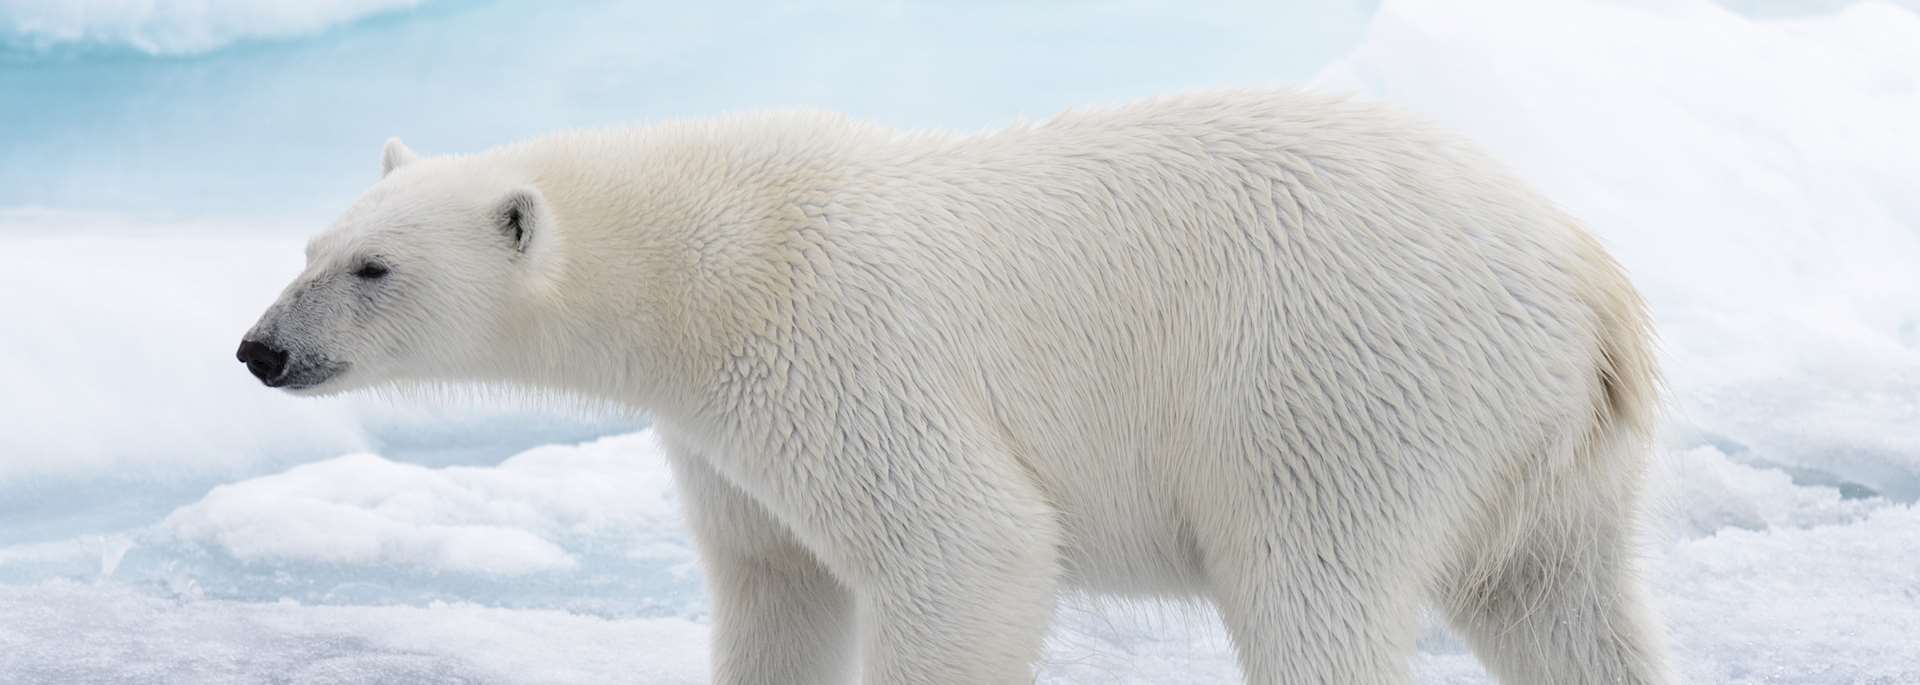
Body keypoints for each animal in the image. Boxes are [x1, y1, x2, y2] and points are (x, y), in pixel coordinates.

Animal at [239, 90, 1670, 684]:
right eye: (307, 246)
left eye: (370, 268)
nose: (260, 350)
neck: (712, 257)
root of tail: (1589, 285)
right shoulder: (723, 438)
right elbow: (776, 587)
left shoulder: (840, 346)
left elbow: (967, 548)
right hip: (1552, 463)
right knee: (1566, 613)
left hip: (1338, 391)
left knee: (1310, 585)